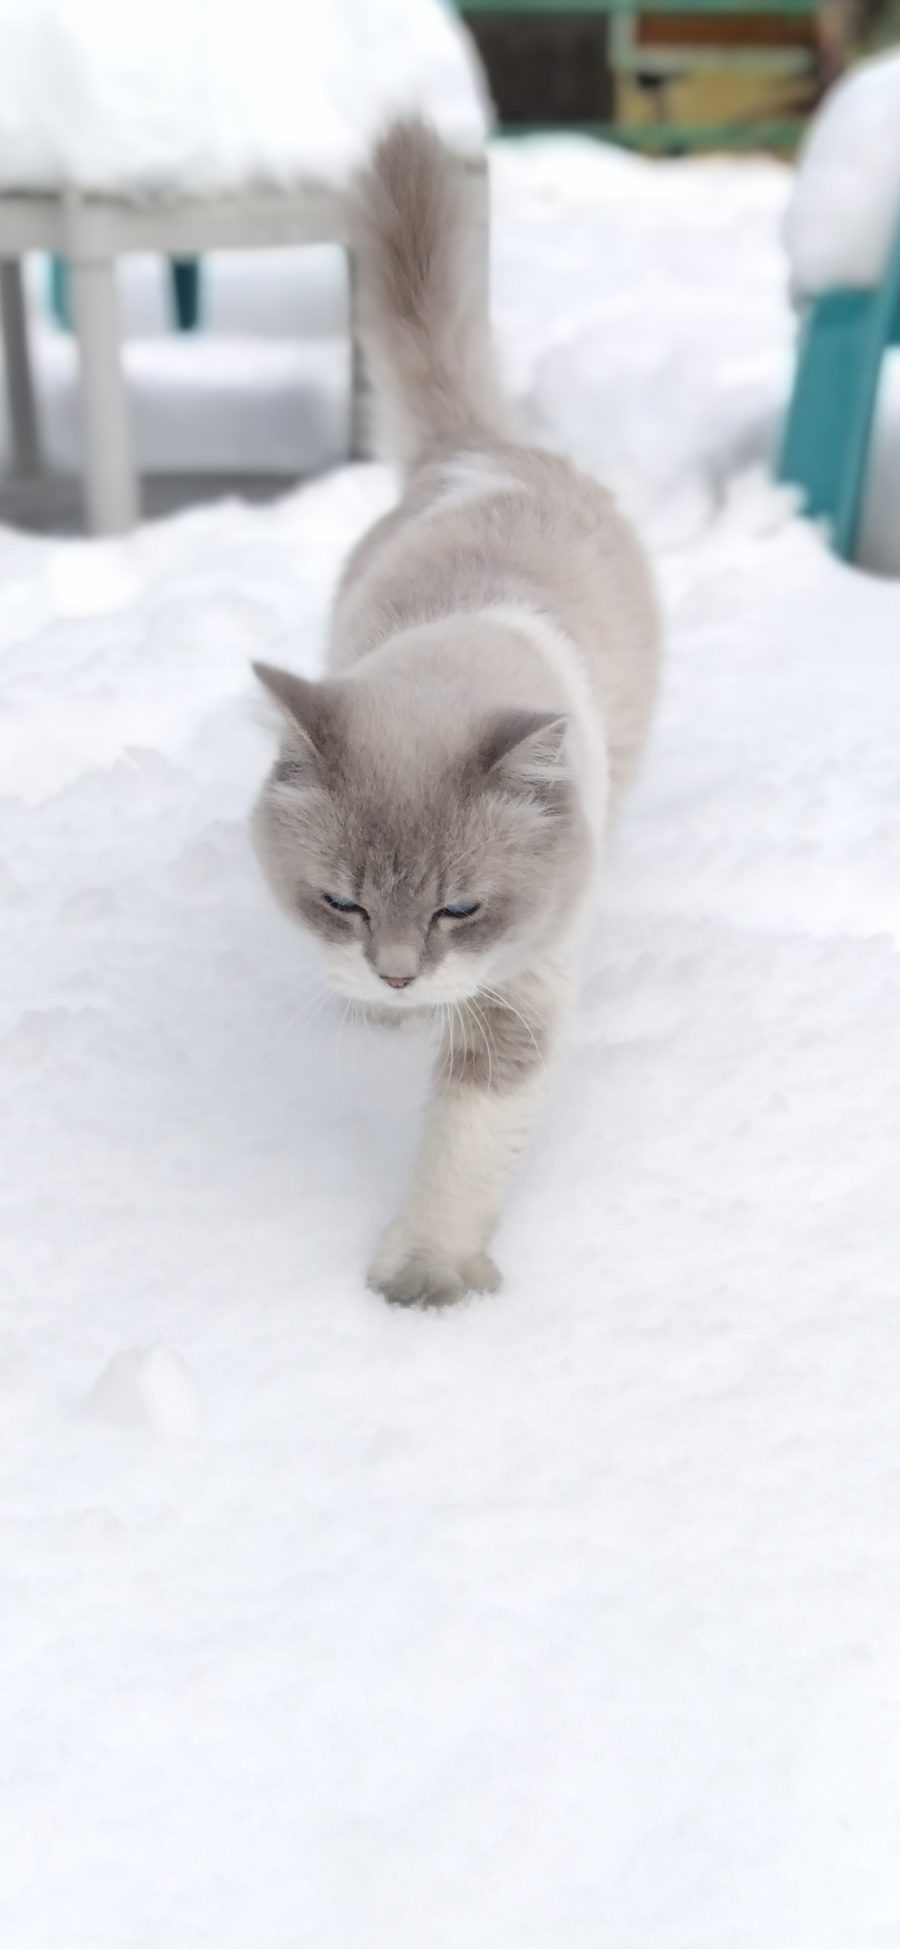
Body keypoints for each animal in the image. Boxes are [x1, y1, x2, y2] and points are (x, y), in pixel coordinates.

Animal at [253, 121, 662, 1309]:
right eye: (341, 900)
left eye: (460, 909)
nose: (397, 974)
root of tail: (476, 446)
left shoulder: (521, 990)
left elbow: (464, 1143)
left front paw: (425, 1285)